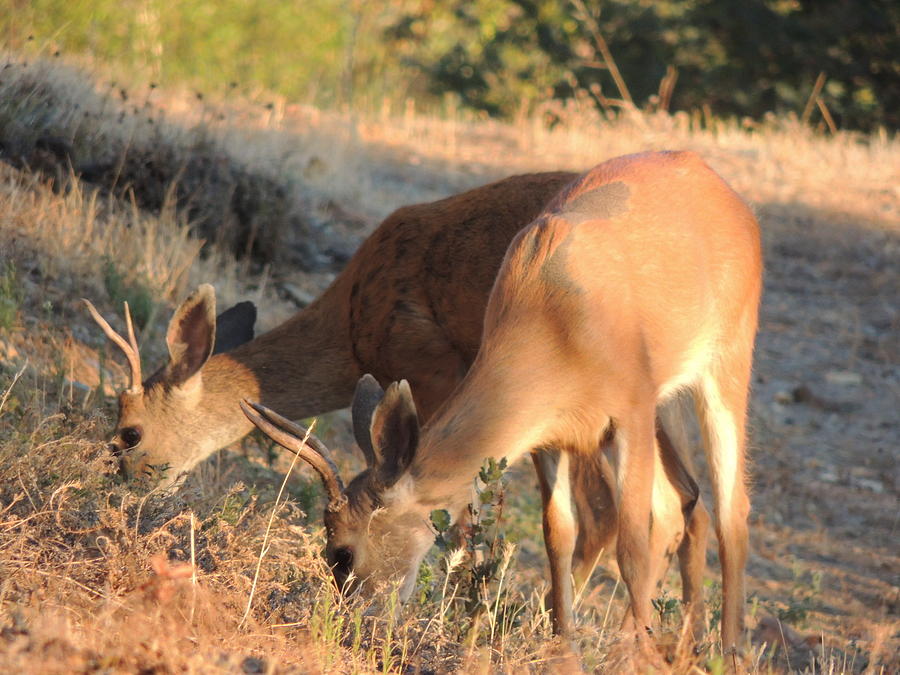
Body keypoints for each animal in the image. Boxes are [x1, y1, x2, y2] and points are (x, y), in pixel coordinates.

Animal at [88, 165, 712, 640]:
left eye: (130, 432)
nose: (118, 496)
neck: (350, 327)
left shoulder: (432, 373)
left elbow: (459, 513)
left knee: (606, 511)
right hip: (664, 403)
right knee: (690, 499)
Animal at [241, 152, 760, 656]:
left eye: (343, 552)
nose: (351, 621)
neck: (556, 326)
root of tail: (719, 185)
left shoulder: (631, 410)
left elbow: (631, 547)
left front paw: (640, 658)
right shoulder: (551, 434)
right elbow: (558, 535)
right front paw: (565, 652)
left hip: (725, 363)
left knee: (730, 511)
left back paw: (725, 652)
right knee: (680, 504)